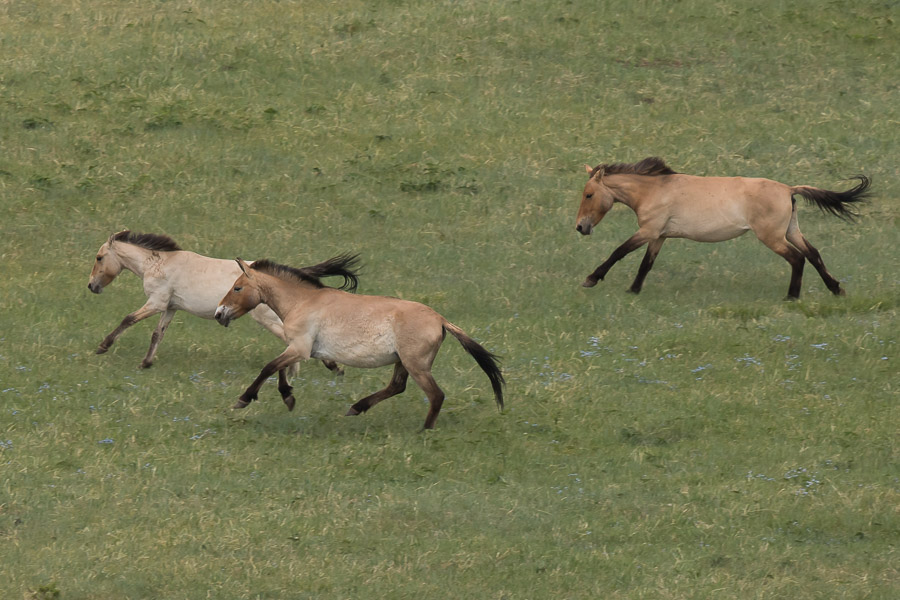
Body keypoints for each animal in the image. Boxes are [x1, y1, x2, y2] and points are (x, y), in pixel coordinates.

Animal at [88, 231, 342, 376]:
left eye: (99, 258)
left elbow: (128, 319)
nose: (91, 286)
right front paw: (146, 363)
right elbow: (157, 334)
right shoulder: (170, 308)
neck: (157, 264)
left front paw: (102, 346)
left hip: (266, 318)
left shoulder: (156, 303)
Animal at [214, 255, 502, 428]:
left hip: (416, 364)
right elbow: (280, 369)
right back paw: (356, 408)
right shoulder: (299, 348)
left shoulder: (299, 348)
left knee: (436, 395)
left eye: (237, 288)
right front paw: (288, 397)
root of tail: (441, 320)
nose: (219, 313)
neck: (303, 302)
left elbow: (269, 367)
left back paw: (424, 431)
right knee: (397, 386)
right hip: (403, 362)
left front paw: (244, 399)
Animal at [576, 158, 872, 298]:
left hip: (772, 237)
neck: (654, 190)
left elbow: (618, 252)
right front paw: (633, 290)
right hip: (790, 231)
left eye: (589, 194)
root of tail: (789, 189)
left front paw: (591, 279)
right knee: (813, 254)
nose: (580, 227)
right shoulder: (659, 236)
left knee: (797, 258)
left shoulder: (647, 232)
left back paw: (792, 296)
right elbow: (645, 265)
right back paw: (836, 289)